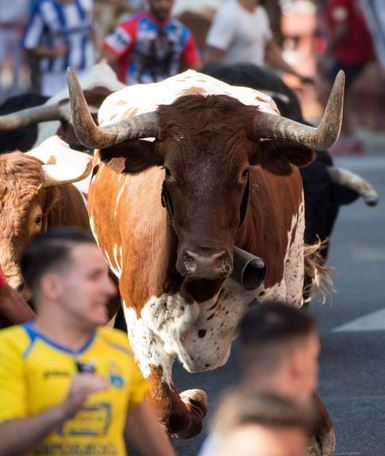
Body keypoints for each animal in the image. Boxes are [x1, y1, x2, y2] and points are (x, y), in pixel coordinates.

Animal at [67, 68, 344, 446]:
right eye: (168, 171)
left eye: (244, 172)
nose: (205, 259)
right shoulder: (140, 322)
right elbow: (164, 404)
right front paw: (194, 403)